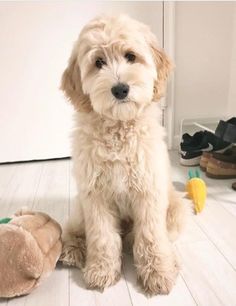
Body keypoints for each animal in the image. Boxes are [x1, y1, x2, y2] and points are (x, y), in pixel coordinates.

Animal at [59, 14, 186, 296]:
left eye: (131, 56)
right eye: (98, 63)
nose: (120, 89)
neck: (118, 128)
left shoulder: (149, 192)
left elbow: (151, 236)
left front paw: (158, 273)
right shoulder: (95, 196)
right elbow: (102, 237)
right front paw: (102, 271)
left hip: (177, 210)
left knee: (157, 236)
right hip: (81, 207)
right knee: (74, 229)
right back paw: (73, 250)